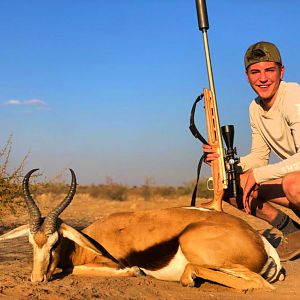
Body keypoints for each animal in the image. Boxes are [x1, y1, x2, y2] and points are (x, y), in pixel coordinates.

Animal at [0, 170, 284, 290]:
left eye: (55, 242)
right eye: (30, 242)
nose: (36, 279)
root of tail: (261, 242)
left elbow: (74, 269)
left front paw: (134, 271)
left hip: (195, 245)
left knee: (258, 284)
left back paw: (188, 278)